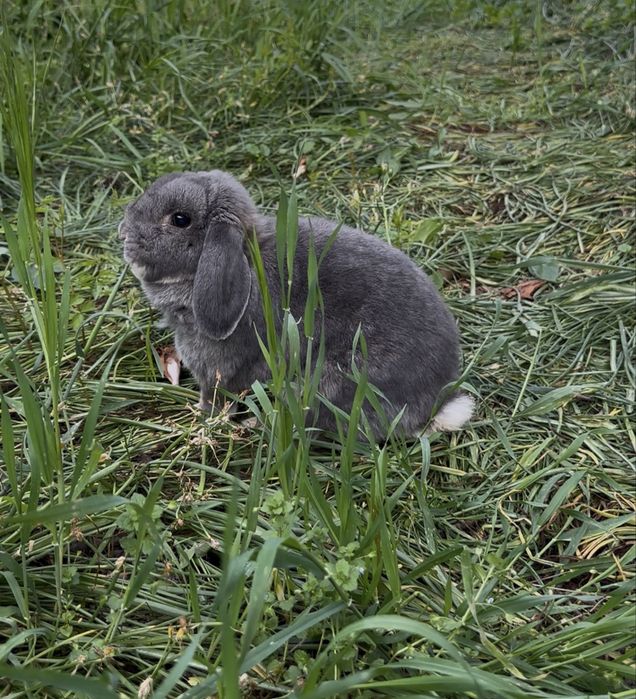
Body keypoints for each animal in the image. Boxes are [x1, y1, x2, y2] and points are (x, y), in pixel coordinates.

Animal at [119, 170, 474, 438]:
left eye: (180, 219)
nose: (123, 232)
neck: (246, 257)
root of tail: (434, 405)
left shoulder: (217, 365)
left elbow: (216, 395)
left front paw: (203, 417)